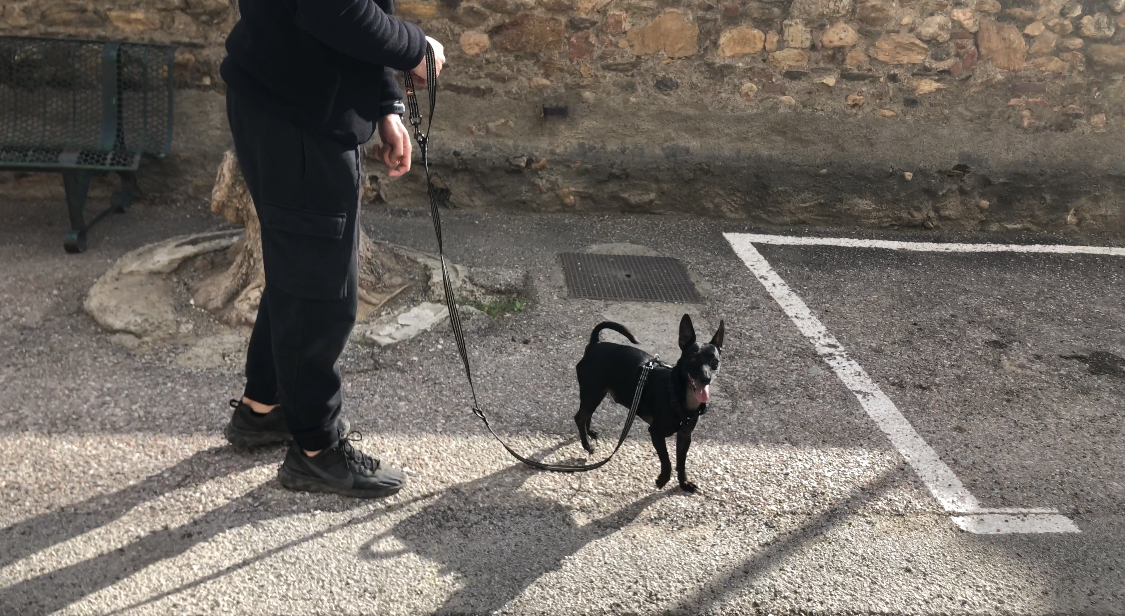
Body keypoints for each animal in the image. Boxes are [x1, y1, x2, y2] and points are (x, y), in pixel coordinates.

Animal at [576, 314, 724, 492]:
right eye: (693, 358)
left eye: (715, 362)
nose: (705, 378)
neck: (680, 395)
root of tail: (594, 344)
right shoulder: (656, 433)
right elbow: (666, 460)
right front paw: (663, 479)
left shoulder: (685, 436)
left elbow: (681, 463)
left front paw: (684, 483)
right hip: (592, 393)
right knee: (580, 417)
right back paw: (587, 445)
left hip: (597, 393)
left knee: (587, 415)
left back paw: (590, 433)